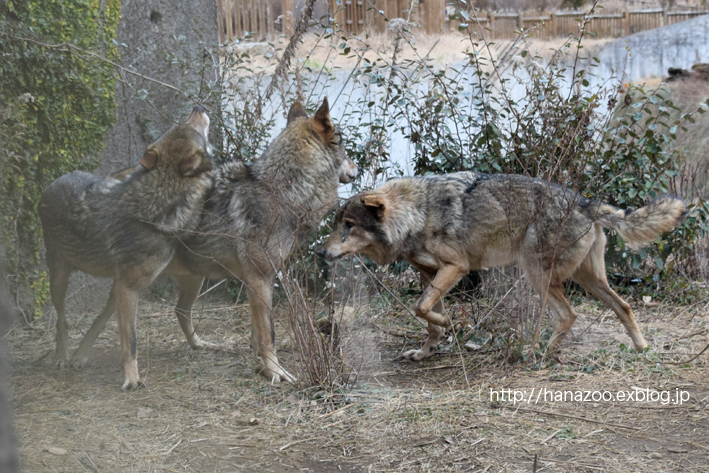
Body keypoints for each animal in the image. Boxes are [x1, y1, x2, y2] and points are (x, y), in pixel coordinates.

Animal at [38, 106, 213, 388]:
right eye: (185, 125)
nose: (197, 107)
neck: (161, 192)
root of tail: (61, 177)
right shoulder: (129, 289)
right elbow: (131, 341)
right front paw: (132, 379)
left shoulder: (128, 288)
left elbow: (124, 335)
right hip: (60, 279)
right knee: (62, 319)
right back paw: (62, 356)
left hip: (114, 289)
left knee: (98, 320)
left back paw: (79, 356)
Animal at [63, 98, 354, 384]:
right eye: (344, 145)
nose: (356, 168)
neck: (282, 189)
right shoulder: (259, 278)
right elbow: (268, 334)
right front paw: (275, 372)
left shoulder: (259, 281)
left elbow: (257, 335)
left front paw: (259, 363)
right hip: (139, 281)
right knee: (108, 317)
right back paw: (78, 359)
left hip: (194, 277)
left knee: (179, 311)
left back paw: (199, 345)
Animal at [320, 171, 684, 360]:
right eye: (337, 224)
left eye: (349, 226)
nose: (322, 252)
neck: (416, 214)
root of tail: (584, 202)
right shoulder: (428, 274)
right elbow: (425, 316)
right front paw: (427, 350)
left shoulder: (457, 268)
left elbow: (421, 308)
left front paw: (451, 325)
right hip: (587, 280)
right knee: (624, 306)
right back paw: (641, 347)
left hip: (538, 275)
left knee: (569, 315)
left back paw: (538, 353)